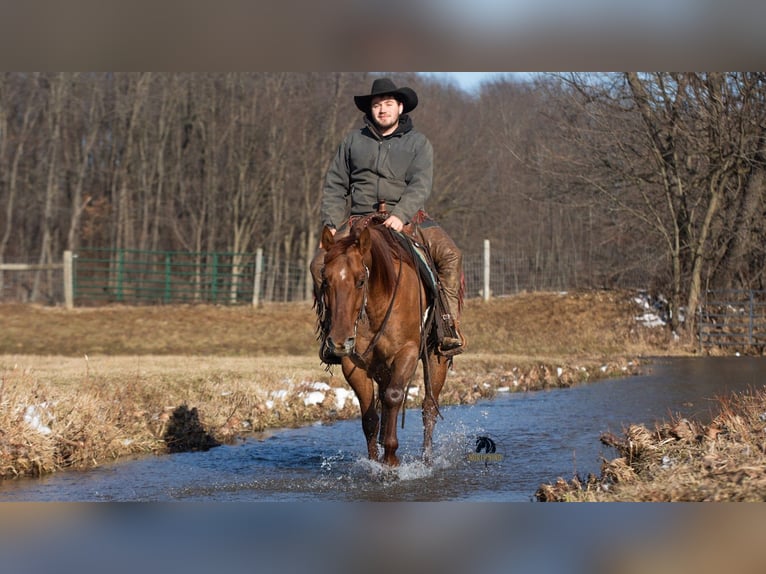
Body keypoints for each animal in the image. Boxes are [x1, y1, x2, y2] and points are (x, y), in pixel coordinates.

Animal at [316, 217, 450, 466]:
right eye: (325, 280)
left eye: (361, 281)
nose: (338, 342)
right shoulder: (354, 364)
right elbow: (370, 416)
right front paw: (375, 462)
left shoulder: (407, 352)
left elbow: (394, 396)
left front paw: (391, 457)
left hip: (437, 357)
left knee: (429, 407)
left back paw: (426, 459)